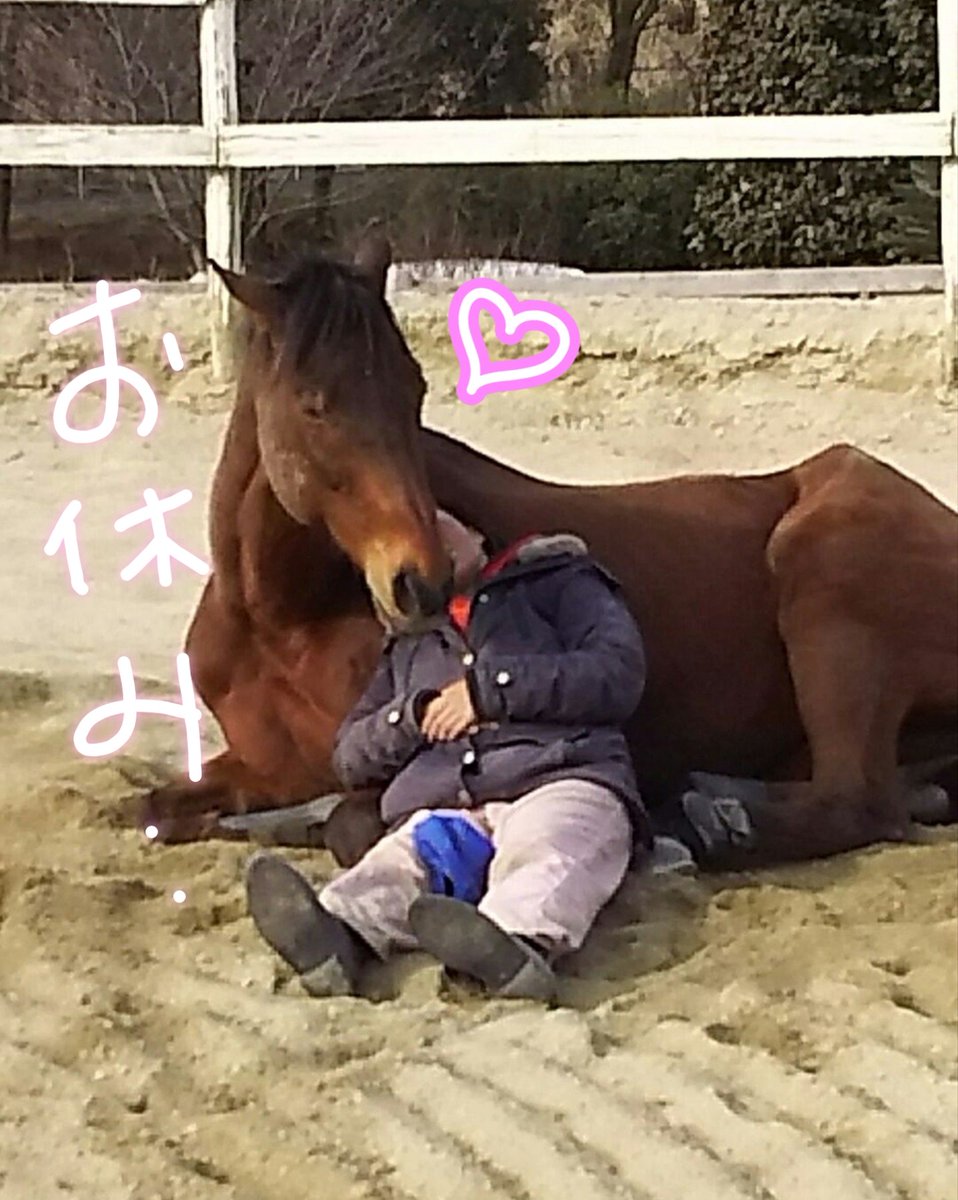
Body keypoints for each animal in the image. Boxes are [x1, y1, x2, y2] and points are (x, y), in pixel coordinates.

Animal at [142, 236, 958, 872]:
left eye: (415, 389)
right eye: (314, 404)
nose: (421, 581)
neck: (281, 617)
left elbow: (345, 822)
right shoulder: (266, 763)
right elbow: (156, 809)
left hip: (829, 585)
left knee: (855, 800)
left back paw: (699, 824)